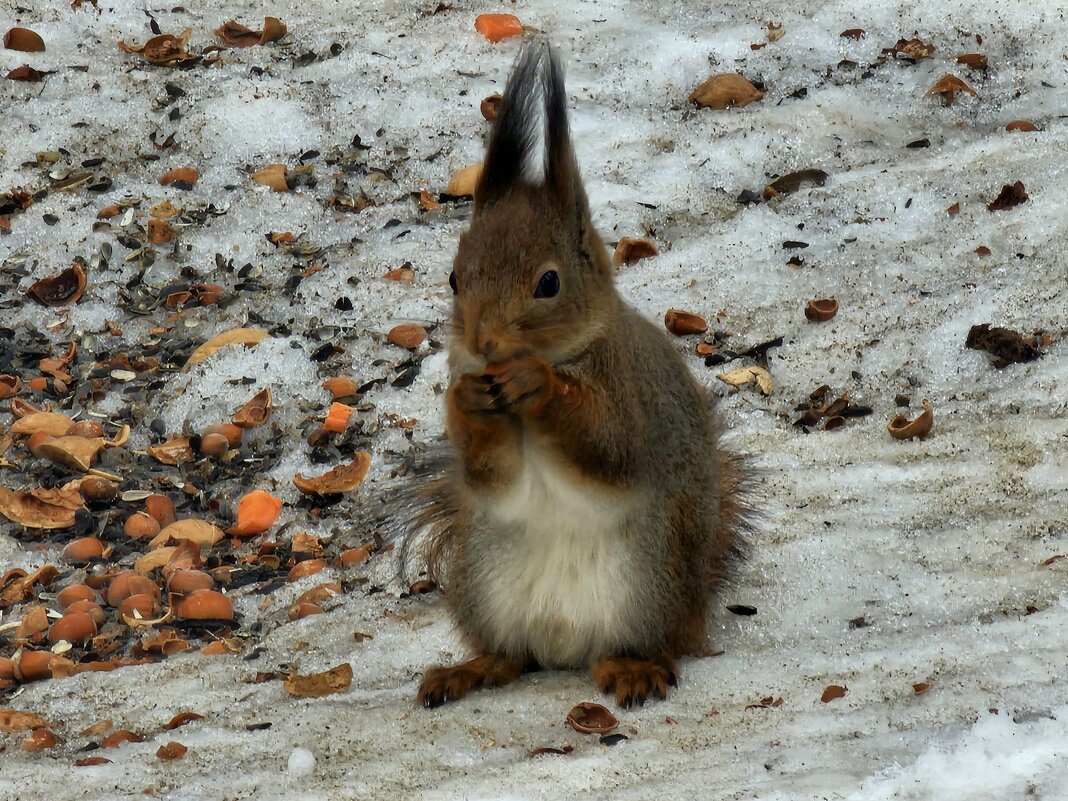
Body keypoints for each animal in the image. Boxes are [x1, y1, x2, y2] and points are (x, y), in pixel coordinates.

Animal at [403, 42, 747, 709]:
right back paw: (472, 669)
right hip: (482, 577)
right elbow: (493, 477)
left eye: (548, 283)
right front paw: (466, 399)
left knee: (639, 645)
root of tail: (565, 647)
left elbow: (607, 449)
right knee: (513, 656)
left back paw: (632, 667)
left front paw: (538, 384)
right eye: (455, 278)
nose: (482, 344)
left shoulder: (630, 394)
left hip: (649, 577)